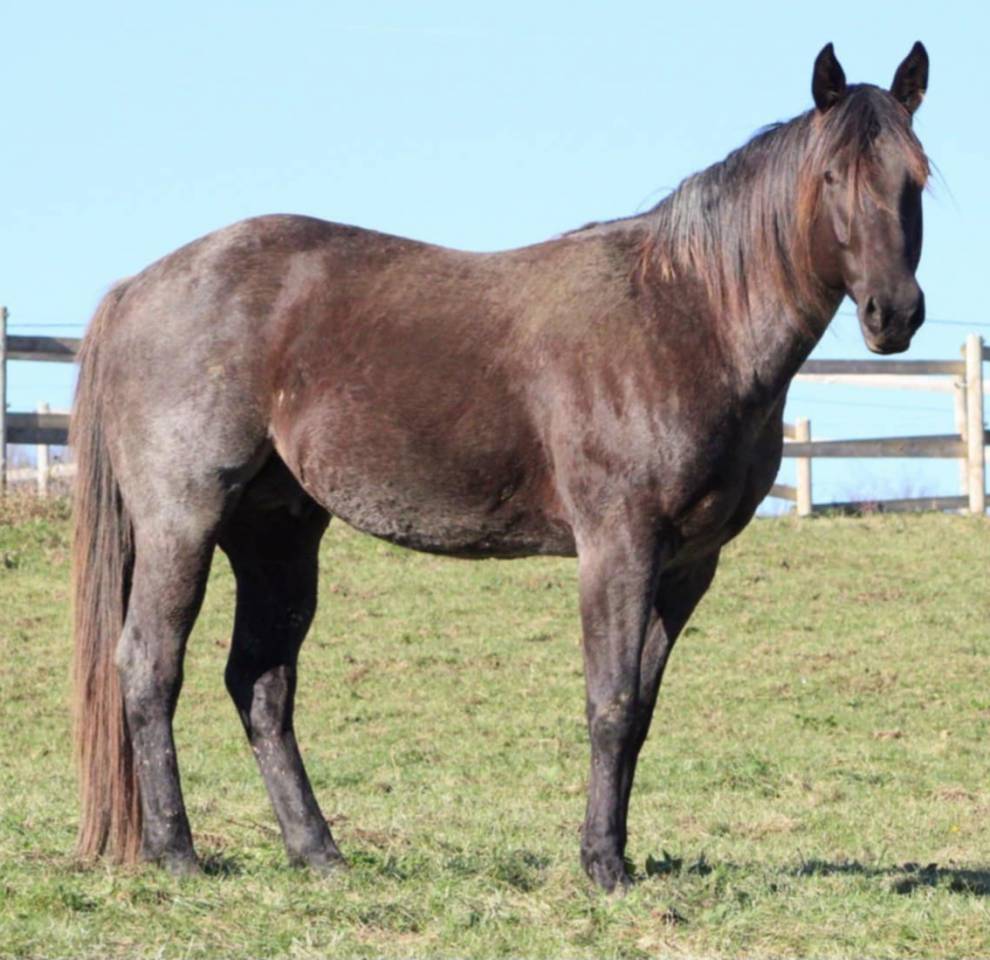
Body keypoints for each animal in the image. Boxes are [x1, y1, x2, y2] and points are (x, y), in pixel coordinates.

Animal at [71, 42, 930, 892]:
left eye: (914, 176)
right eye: (832, 178)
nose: (894, 314)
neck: (686, 316)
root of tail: (136, 288)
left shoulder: (689, 566)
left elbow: (641, 713)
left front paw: (611, 852)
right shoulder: (618, 548)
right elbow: (610, 703)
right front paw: (603, 867)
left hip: (276, 536)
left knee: (260, 684)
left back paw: (320, 854)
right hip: (183, 522)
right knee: (149, 666)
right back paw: (178, 853)